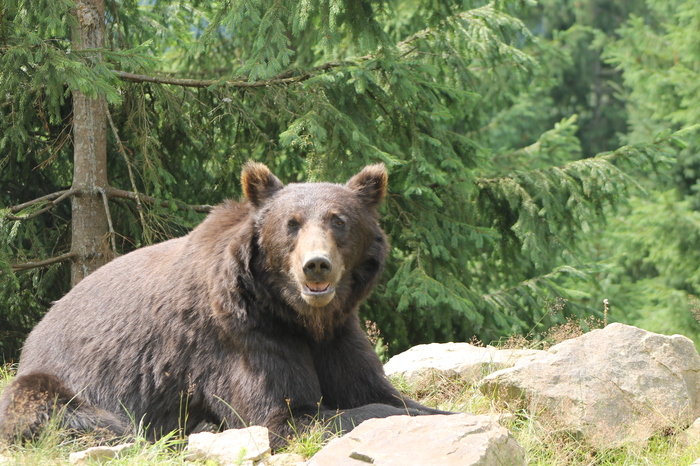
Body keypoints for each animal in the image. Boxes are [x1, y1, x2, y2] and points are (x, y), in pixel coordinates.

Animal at [0, 162, 446, 446]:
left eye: (339, 220)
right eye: (292, 224)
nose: (316, 265)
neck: (297, 315)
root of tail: (38, 328)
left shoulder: (337, 334)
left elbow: (376, 388)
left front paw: (433, 412)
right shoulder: (239, 336)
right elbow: (285, 414)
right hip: (58, 379)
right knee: (61, 410)